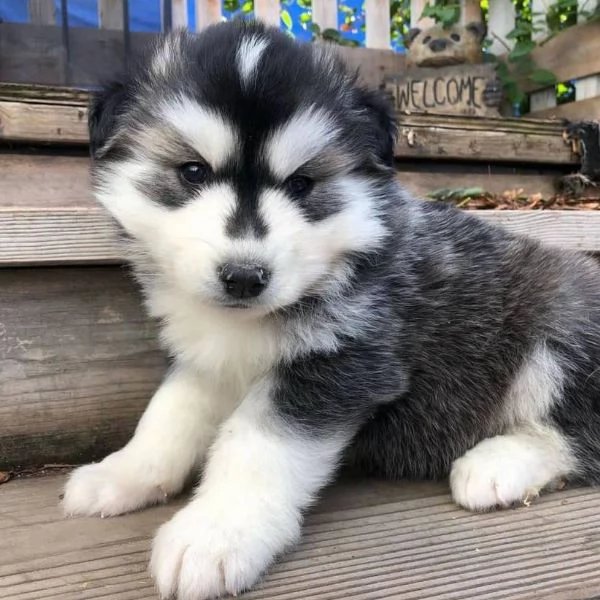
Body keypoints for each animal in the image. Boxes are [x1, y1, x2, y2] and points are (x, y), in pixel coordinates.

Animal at [63, 18, 600, 600]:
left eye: (301, 184)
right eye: (192, 171)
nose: (244, 277)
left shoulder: (343, 362)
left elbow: (257, 442)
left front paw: (217, 531)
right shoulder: (209, 359)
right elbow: (168, 414)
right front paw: (124, 473)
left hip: (561, 317)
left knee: (581, 433)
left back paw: (497, 464)